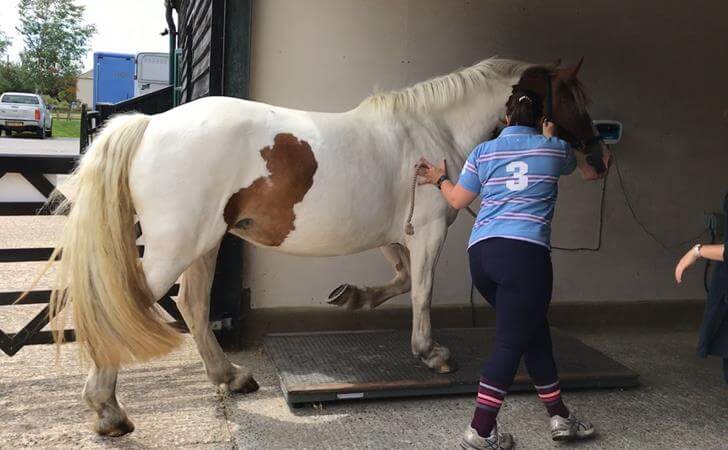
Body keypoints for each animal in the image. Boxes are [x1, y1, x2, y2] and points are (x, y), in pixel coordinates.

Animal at [45, 57, 608, 436]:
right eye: (574, 96)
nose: (598, 156)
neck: (430, 131)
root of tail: (150, 125)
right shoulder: (427, 231)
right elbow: (422, 291)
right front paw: (431, 354)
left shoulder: (393, 239)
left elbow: (401, 281)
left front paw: (354, 296)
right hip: (179, 245)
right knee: (128, 307)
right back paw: (108, 410)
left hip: (204, 242)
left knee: (193, 304)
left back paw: (229, 376)